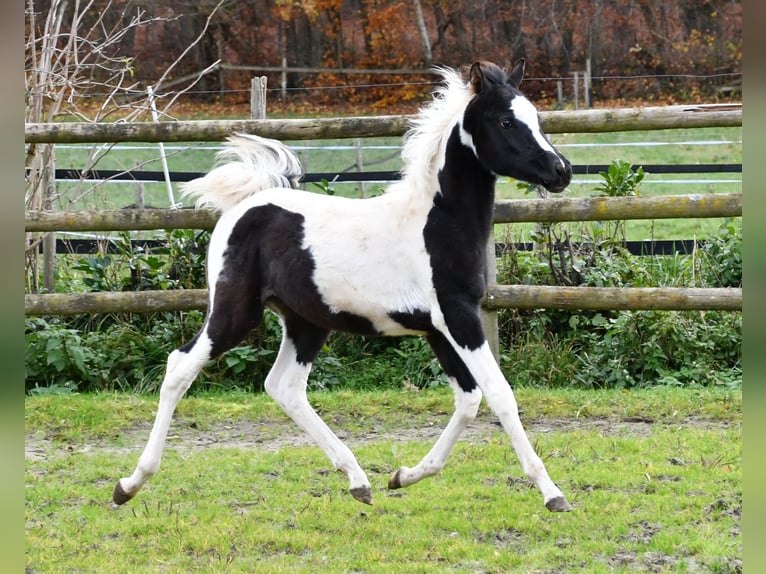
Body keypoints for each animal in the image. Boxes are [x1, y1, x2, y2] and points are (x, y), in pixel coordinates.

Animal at [113, 59, 574, 513]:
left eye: (536, 117)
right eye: (506, 121)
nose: (562, 171)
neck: (435, 223)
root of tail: (245, 206)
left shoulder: (438, 327)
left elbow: (468, 399)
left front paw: (404, 476)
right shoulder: (457, 317)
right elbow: (499, 394)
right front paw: (552, 492)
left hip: (305, 322)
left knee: (284, 387)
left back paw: (359, 481)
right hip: (234, 312)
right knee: (180, 367)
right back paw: (129, 484)